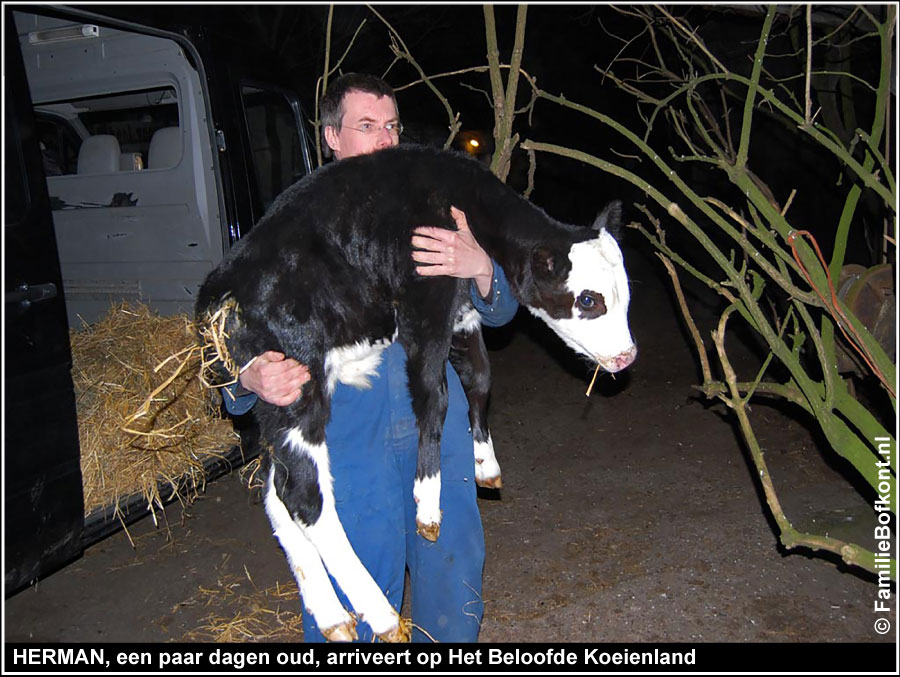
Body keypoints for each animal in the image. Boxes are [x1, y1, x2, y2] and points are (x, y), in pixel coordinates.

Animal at [194, 144, 636, 640]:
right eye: (589, 300)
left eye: (625, 294)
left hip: (275, 407)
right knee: (304, 497)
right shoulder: (426, 302)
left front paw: (484, 463)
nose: (627, 357)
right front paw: (427, 502)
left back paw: (331, 615)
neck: (462, 202)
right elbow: (435, 396)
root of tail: (218, 292)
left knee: (277, 496)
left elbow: (480, 378)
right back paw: (380, 612)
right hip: (295, 387)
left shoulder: (463, 307)